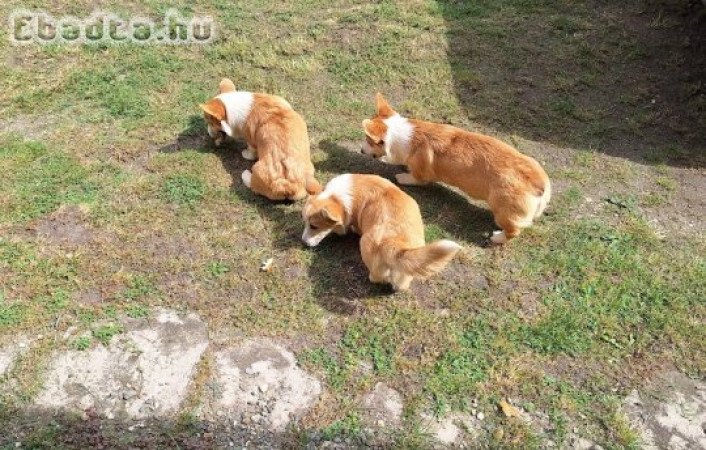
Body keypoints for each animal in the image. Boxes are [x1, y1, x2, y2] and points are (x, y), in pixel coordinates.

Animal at [300, 172, 460, 292]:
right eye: (305, 222)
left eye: (314, 226)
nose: (302, 242)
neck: (338, 197)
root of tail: (394, 243)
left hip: (364, 242)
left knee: (375, 277)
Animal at [360, 92, 548, 244]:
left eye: (369, 140)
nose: (361, 150)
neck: (403, 136)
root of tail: (540, 185)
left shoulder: (421, 173)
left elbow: (415, 178)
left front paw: (402, 176)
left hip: (503, 210)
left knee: (513, 231)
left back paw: (497, 237)